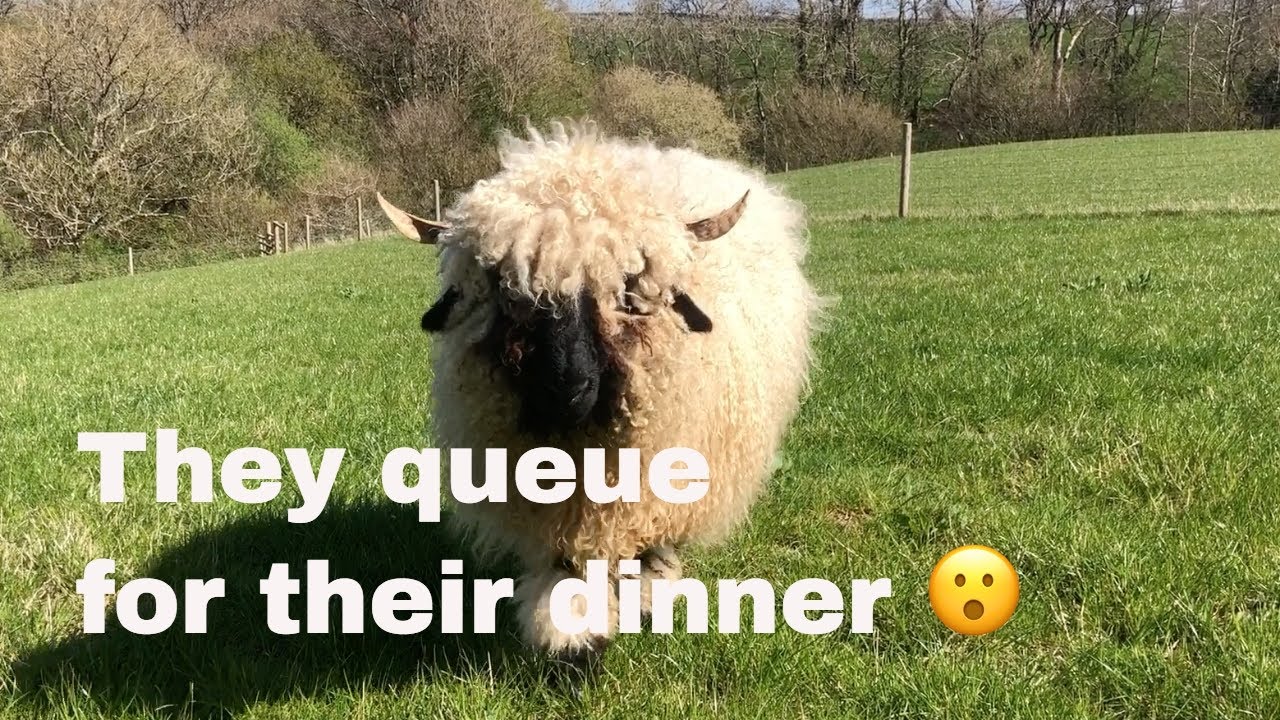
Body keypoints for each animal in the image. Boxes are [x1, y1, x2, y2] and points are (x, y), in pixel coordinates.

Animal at [377, 121, 818, 667]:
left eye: (627, 291)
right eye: (509, 293)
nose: (567, 390)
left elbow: (654, 542)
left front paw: (651, 594)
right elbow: (566, 566)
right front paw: (573, 640)